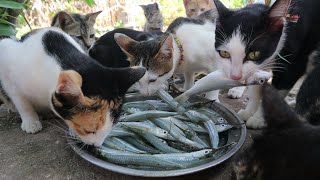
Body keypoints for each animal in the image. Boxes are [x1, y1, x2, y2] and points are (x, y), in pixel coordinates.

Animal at [0, 27, 146, 146]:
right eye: (88, 130)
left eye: (112, 126)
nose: (97, 145)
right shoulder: (6, 56)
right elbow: (21, 102)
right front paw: (31, 121)